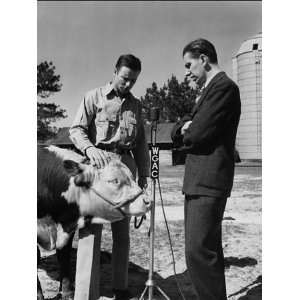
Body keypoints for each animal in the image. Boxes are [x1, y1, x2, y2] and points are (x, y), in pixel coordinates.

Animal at [37, 144, 150, 298]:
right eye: (114, 181)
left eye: (133, 177)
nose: (147, 201)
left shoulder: (67, 229)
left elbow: (64, 259)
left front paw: (67, 292)